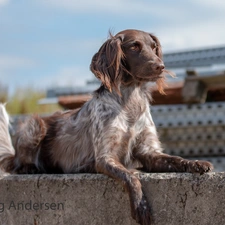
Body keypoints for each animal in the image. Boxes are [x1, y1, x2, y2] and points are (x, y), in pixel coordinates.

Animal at [0, 29, 213, 223]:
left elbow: (175, 159)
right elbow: (131, 176)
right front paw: (141, 205)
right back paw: (30, 168)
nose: (160, 66)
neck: (130, 100)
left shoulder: (150, 151)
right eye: (134, 46)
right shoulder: (105, 157)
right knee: (17, 164)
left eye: (153, 47)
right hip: (34, 125)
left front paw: (197, 163)